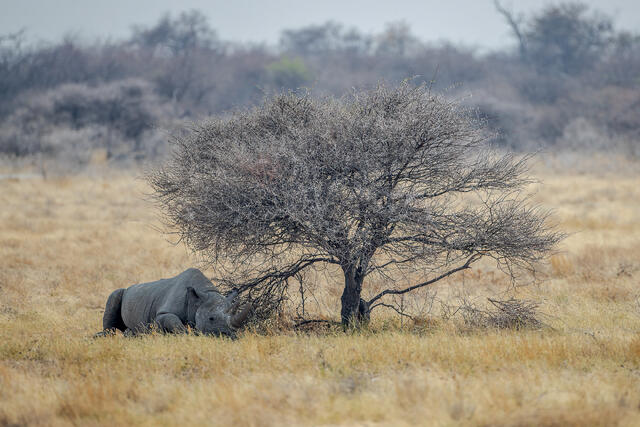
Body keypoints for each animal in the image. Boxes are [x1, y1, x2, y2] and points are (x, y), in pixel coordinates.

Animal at [98, 268, 251, 338]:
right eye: (211, 318)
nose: (229, 335)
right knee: (115, 295)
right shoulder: (161, 314)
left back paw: (130, 333)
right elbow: (173, 321)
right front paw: (189, 335)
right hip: (123, 292)